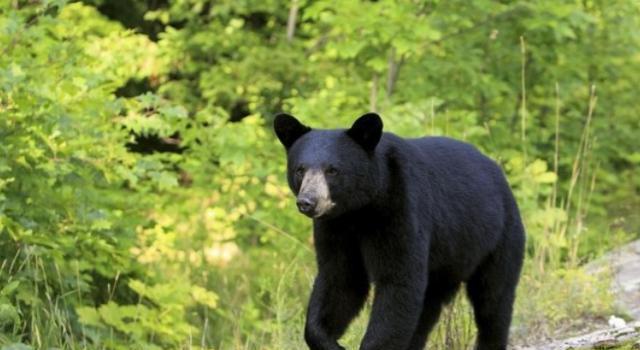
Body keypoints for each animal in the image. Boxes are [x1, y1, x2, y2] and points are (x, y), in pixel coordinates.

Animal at [274, 113, 524, 350]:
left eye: (332, 170)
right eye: (300, 170)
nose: (307, 202)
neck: (360, 209)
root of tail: (497, 171)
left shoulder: (400, 209)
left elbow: (398, 281)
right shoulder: (335, 227)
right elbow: (339, 280)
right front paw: (330, 342)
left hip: (498, 238)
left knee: (493, 298)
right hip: (446, 263)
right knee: (426, 309)